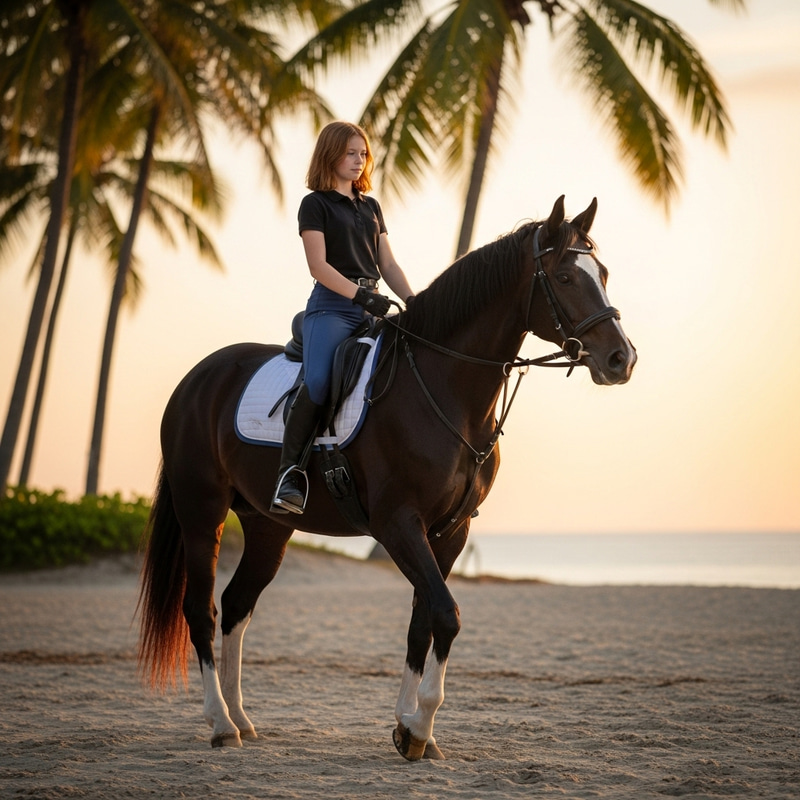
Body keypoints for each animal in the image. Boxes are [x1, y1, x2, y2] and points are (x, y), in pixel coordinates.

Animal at [137, 195, 636, 759]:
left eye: (603, 273)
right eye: (567, 277)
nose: (622, 359)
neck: (444, 390)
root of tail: (196, 381)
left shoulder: (450, 531)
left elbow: (423, 623)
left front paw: (410, 728)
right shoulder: (398, 524)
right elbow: (446, 614)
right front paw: (417, 729)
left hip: (269, 525)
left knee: (237, 604)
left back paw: (242, 719)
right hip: (202, 514)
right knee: (200, 610)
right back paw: (221, 724)